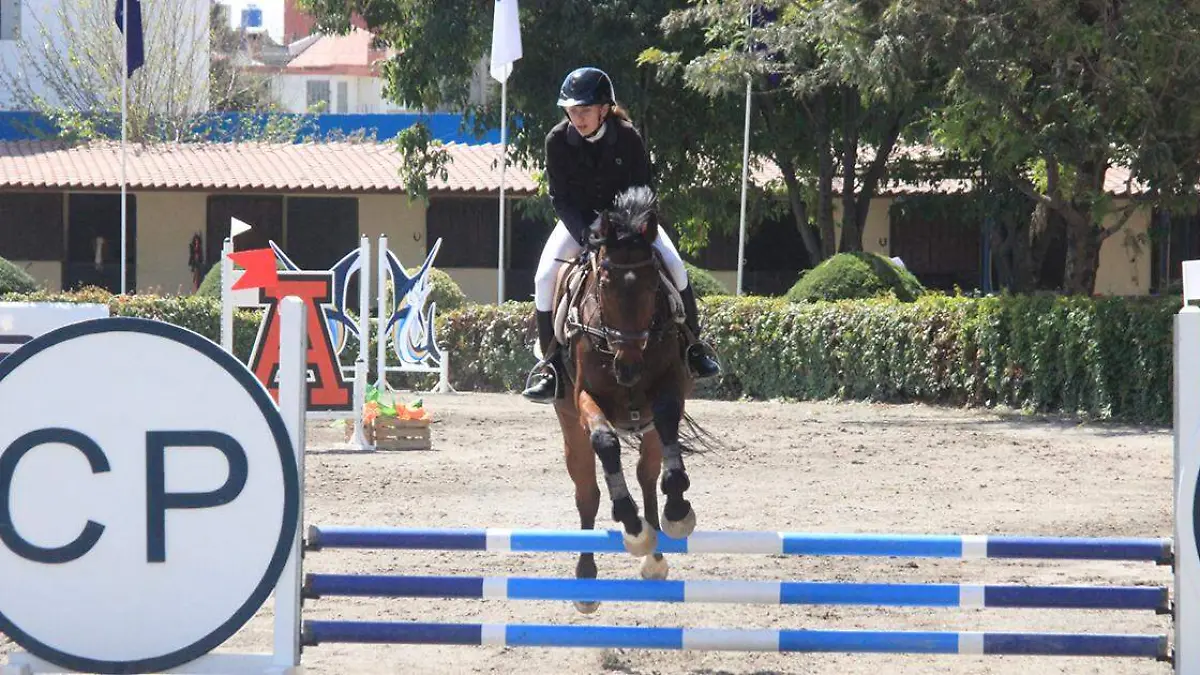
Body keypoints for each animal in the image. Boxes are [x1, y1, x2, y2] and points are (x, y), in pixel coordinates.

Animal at [549, 183, 705, 610]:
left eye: (654, 285)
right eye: (603, 284)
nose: (629, 368)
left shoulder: (670, 386)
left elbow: (666, 420)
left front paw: (677, 507)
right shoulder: (586, 398)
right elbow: (605, 442)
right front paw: (630, 521)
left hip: (645, 428)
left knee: (647, 474)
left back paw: (656, 553)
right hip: (570, 427)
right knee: (587, 492)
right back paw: (587, 579)